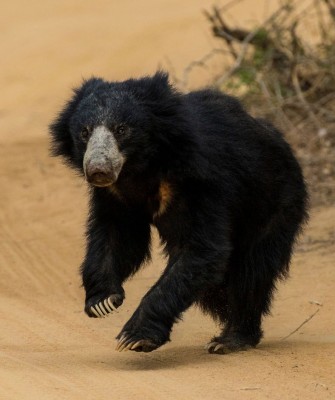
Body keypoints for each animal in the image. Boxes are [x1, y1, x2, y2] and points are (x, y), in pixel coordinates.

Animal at [48, 71, 308, 354]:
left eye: (121, 130)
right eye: (84, 132)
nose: (98, 170)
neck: (140, 168)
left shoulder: (197, 182)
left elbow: (200, 249)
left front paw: (135, 336)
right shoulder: (115, 196)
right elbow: (118, 238)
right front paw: (102, 300)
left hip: (272, 204)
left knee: (251, 271)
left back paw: (231, 338)